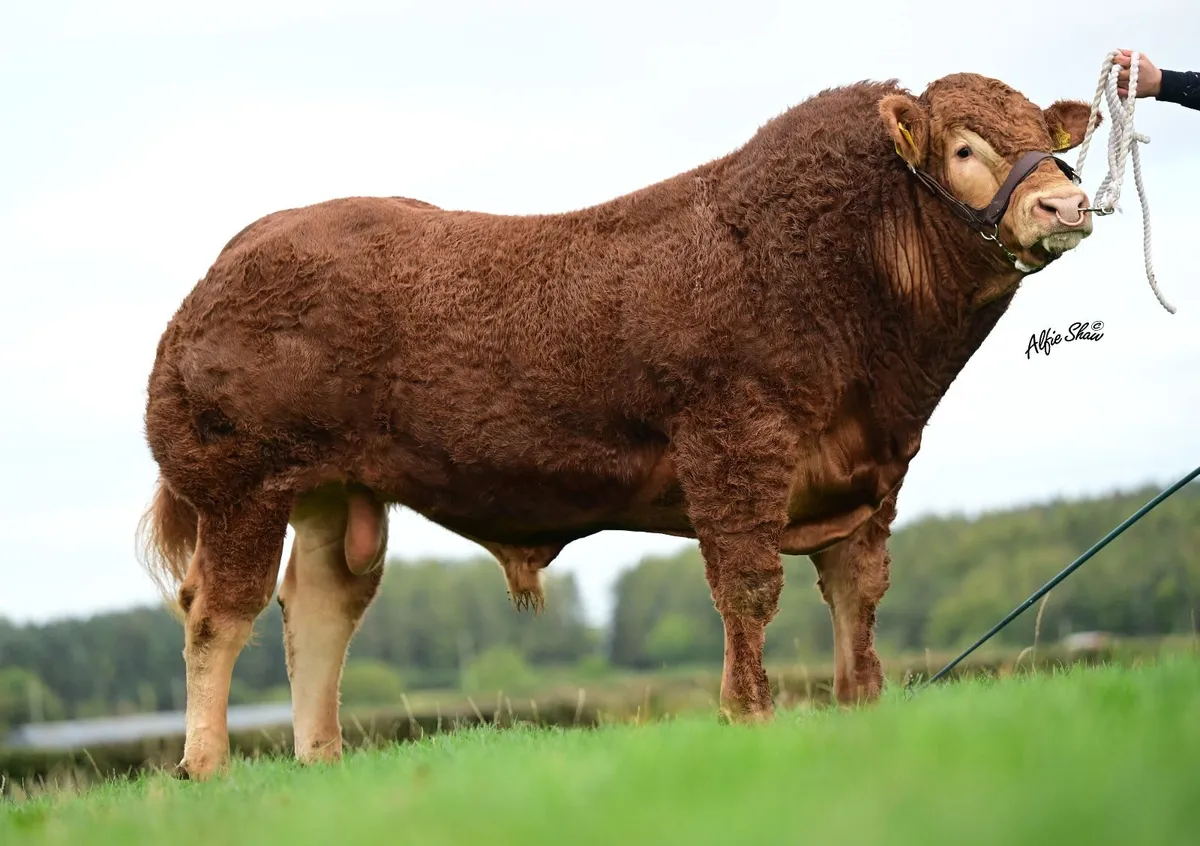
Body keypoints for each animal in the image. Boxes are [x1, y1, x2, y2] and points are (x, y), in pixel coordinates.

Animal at [137, 71, 1099, 780]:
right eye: (966, 147)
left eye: (1055, 145)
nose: (1066, 206)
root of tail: (233, 257)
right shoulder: (733, 448)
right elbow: (747, 589)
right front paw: (750, 716)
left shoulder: (870, 477)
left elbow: (857, 597)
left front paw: (860, 707)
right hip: (242, 484)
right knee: (218, 612)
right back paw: (206, 766)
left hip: (332, 490)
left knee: (320, 608)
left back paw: (321, 759)